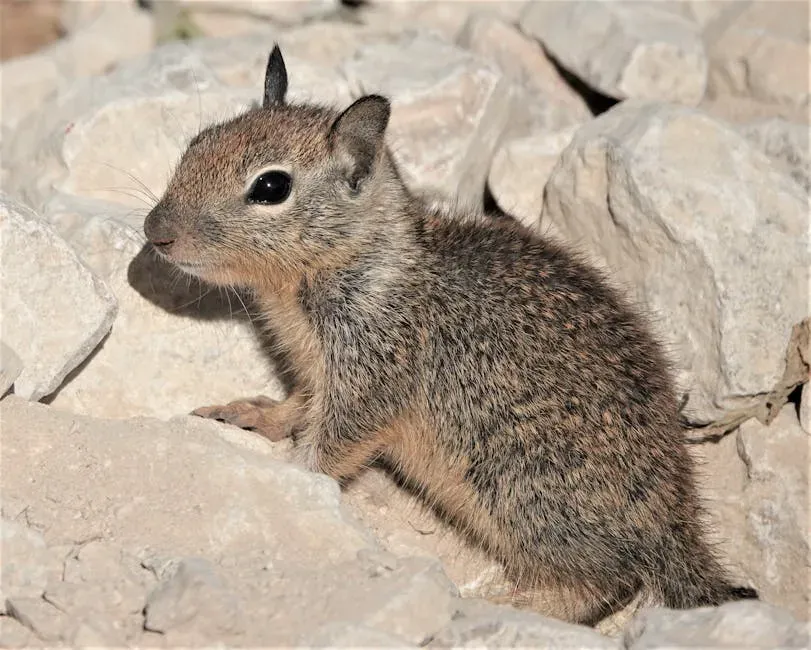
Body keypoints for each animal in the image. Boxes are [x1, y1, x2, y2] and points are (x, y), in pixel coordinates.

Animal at [143, 45, 758, 625]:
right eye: (199, 140)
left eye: (271, 186)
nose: (155, 231)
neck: (349, 264)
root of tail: (676, 530)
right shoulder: (320, 373)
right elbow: (296, 407)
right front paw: (249, 415)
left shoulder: (369, 384)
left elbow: (329, 446)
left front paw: (290, 477)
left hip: (520, 496)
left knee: (609, 583)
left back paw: (506, 606)